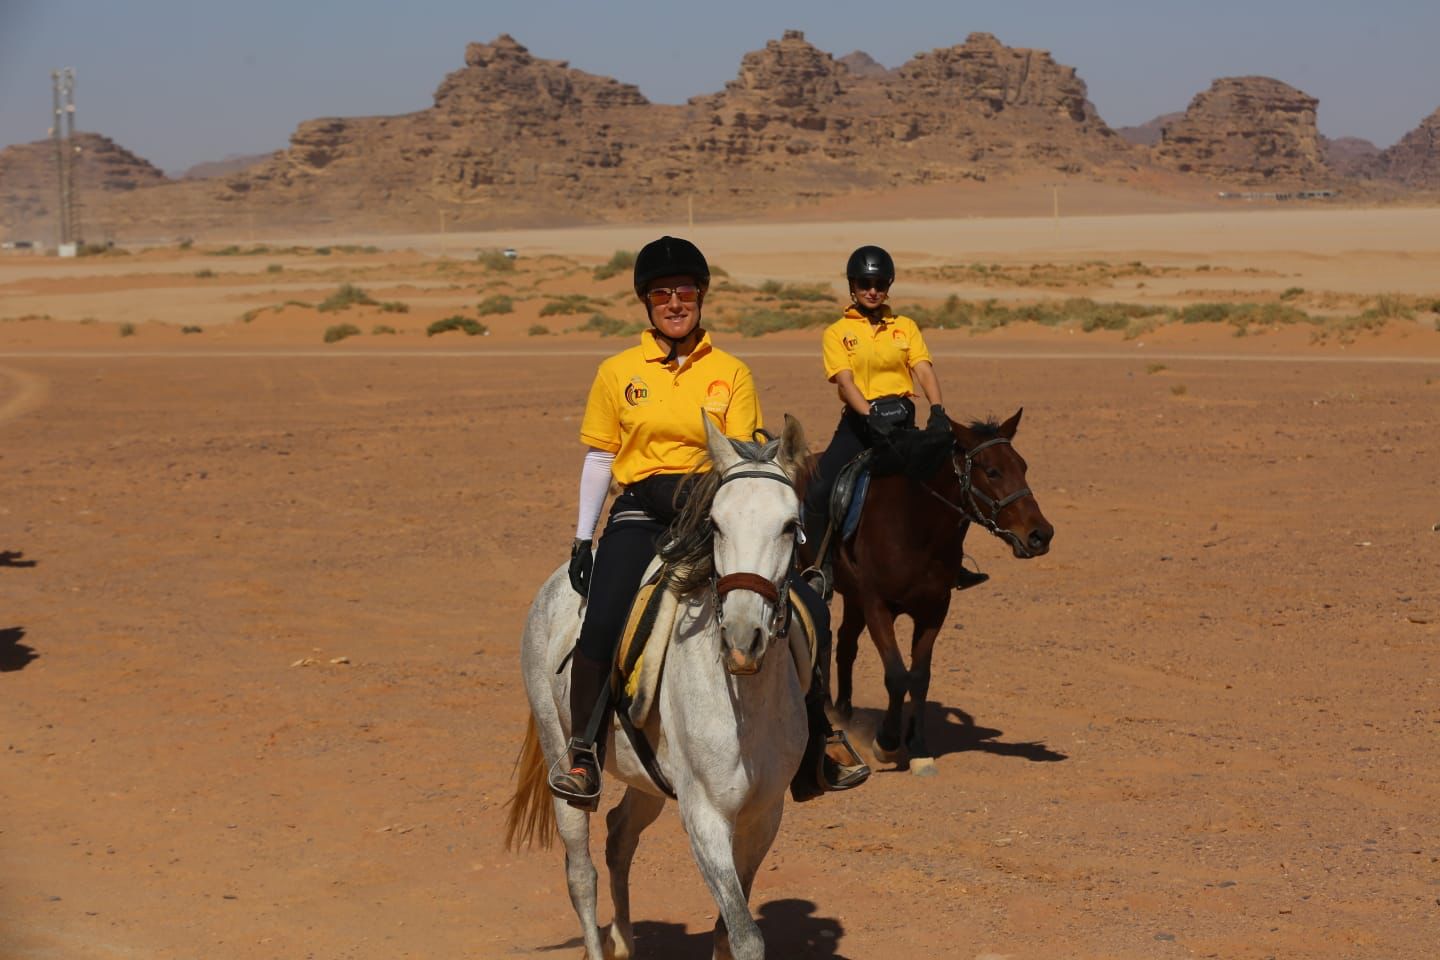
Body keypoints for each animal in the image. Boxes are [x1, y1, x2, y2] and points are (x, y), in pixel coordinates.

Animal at [505, 415, 813, 960]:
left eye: (789, 526)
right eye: (715, 525)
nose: (741, 638)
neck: (745, 703)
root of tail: (554, 585)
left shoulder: (763, 815)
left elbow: (727, 928)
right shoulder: (706, 815)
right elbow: (745, 933)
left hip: (646, 779)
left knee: (618, 835)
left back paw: (624, 942)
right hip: (557, 746)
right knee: (580, 870)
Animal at [816, 408, 1053, 776]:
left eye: (1023, 466)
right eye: (992, 471)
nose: (1041, 535)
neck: (913, 526)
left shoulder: (934, 609)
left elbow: (919, 677)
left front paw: (918, 747)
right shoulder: (877, 605)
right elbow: (897, 675)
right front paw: (887, 743)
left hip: (853, 598)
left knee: (845, 642)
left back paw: (843, 712)